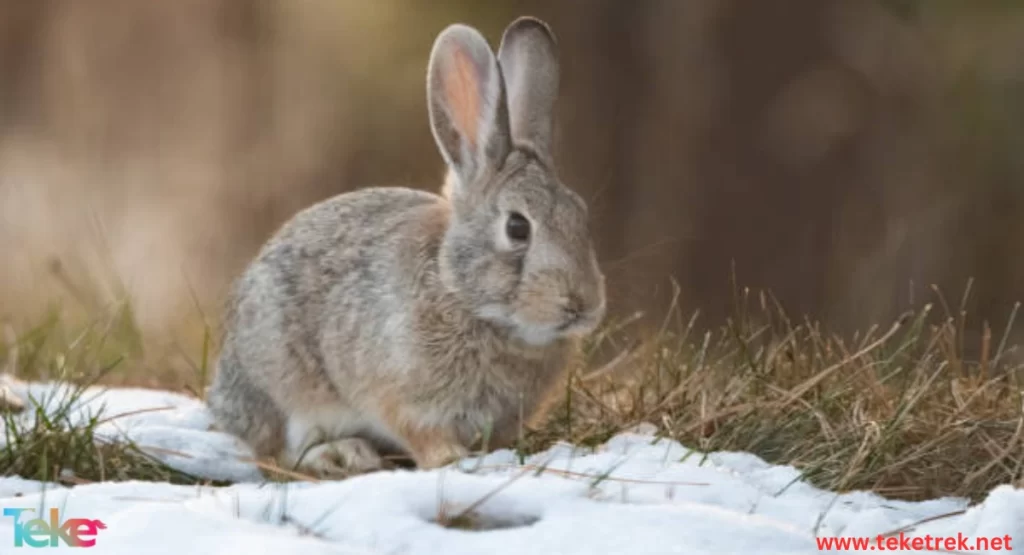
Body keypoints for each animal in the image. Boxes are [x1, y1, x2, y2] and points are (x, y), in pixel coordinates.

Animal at [209, 15, 606, 481]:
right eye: (517, 227)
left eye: (581, 215)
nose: (581, 305)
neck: (460, 292)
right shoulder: (404, 397)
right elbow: (421, 434)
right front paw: (450, 459)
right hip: (287, 388)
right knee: (279, 454)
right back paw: (344, 454)